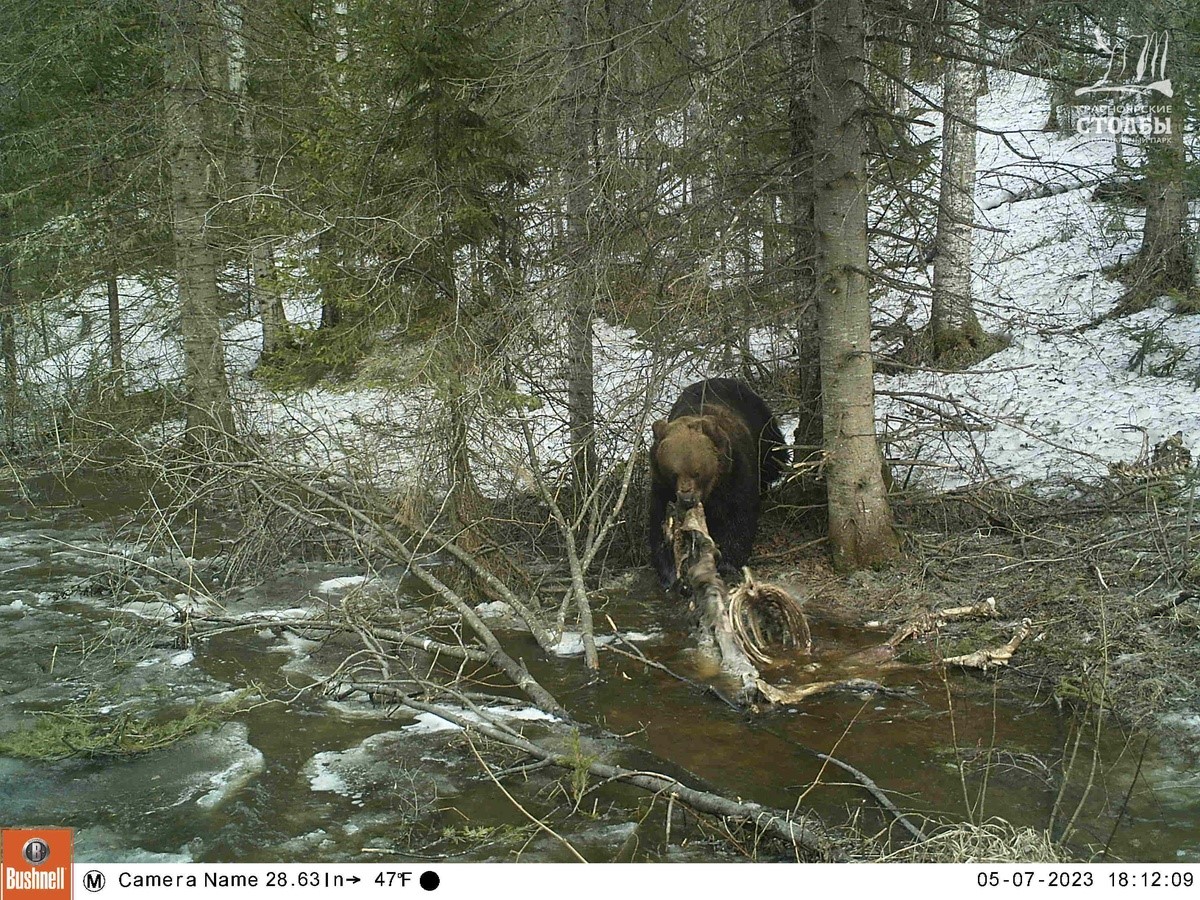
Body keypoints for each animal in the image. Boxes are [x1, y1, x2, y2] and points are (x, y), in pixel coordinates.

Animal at [648, 374, 787, 592]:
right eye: (673, 473)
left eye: (697, 472)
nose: (687, 499)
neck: (712, 489)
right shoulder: (662, 487)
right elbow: (659, 524)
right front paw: (669, 574)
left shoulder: (734, 475)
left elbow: (737, 517)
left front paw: (726, 564)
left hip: (763, 429)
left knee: (773, 458)